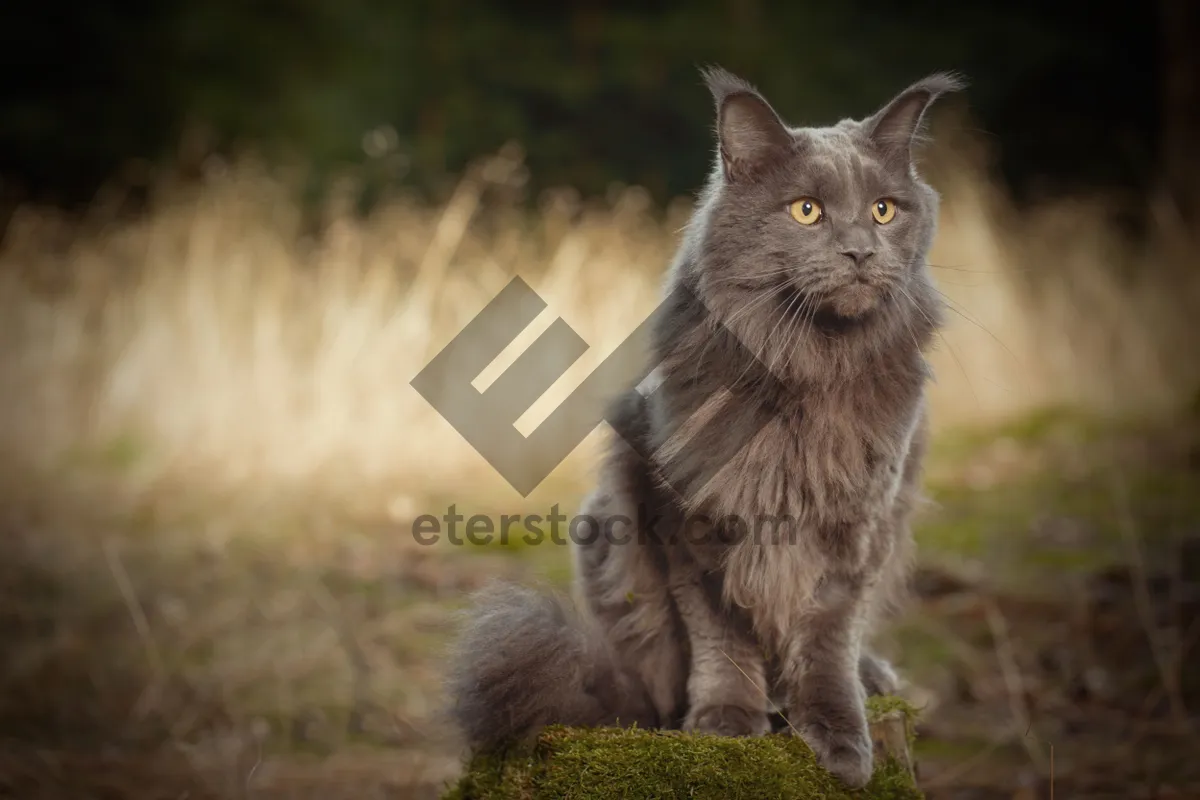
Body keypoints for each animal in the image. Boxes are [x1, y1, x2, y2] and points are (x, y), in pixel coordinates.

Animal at [446, 67, 960, 786]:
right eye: (807, 211)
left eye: (885, 210)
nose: (861, 250)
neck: (806, 368)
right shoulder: (689, 518)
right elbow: (721, 636)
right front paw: (725, 722)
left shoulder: (858, 526)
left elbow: (827, 640)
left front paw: (839, 737)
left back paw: (871, 677)